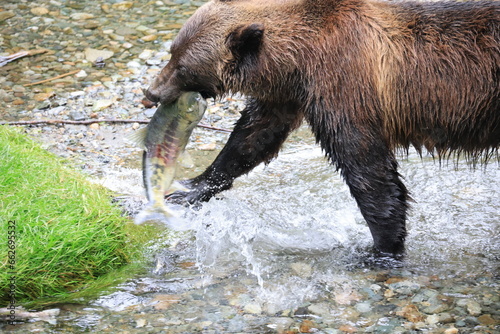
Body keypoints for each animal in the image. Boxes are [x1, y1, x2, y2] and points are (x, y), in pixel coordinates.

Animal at [145, 0, 500, 258]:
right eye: (172, 52)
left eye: (183, 66)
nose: (151, 92)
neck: (295, 59)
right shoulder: (288, 92)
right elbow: (252, 137)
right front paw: (189, 189)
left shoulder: (342, 83)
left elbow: (366, 168)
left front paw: (381, 249)